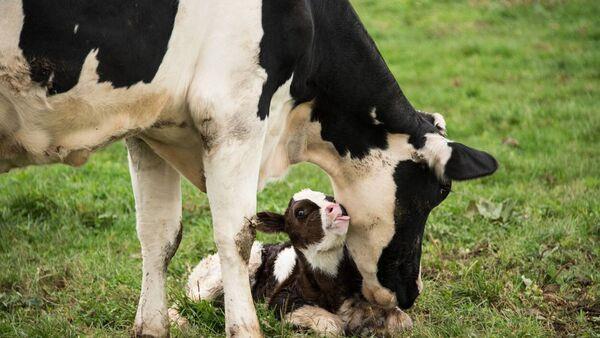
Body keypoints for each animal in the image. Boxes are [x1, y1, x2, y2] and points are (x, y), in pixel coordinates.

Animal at [184, 187, 412, 336]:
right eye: (300, 212)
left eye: (331, 198)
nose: (335, 208)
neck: (332, 286)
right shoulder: (280, 300)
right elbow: (332, 325)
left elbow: (402, 320)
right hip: (227, 273)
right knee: (190, 302)